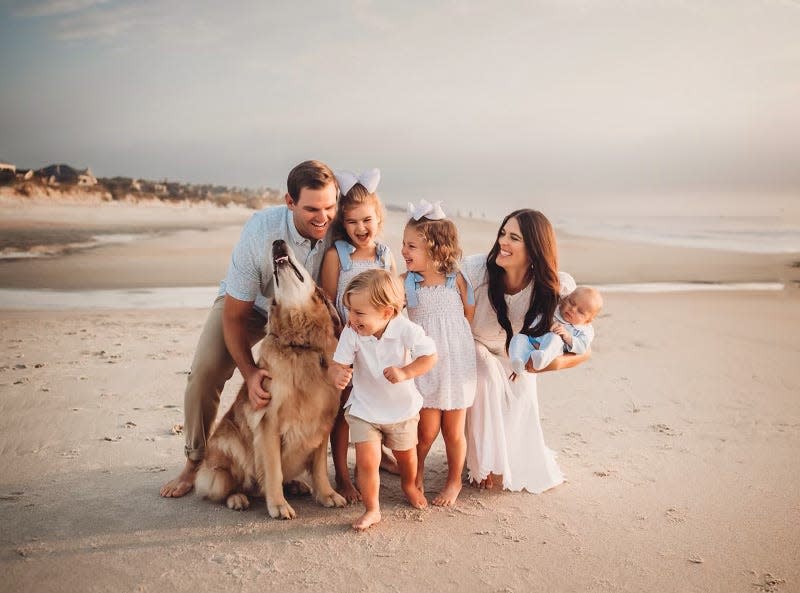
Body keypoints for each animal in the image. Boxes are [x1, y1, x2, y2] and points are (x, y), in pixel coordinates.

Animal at [196, 238, 346, 516]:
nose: (277, 242)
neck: (299, 345)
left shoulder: (322, 421)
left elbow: (320, 467)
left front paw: (327, 494)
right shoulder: (269, 423)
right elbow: (274, 470)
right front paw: (278, 505)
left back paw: (296, 485)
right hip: (228, 450)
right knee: (226, 484)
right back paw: (238, 498)